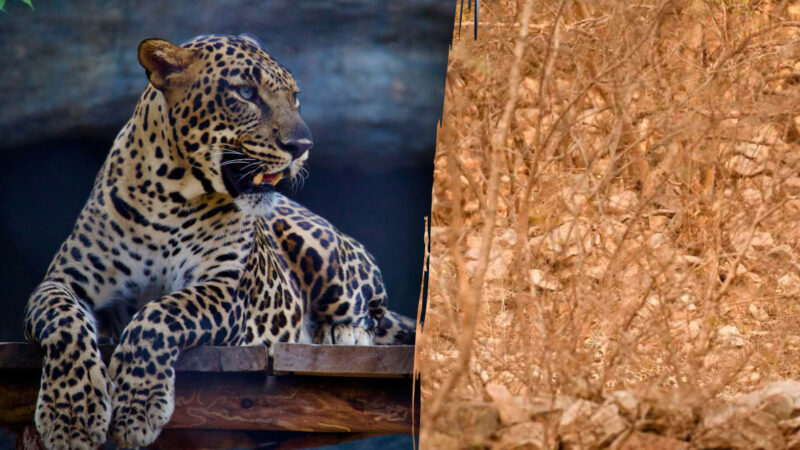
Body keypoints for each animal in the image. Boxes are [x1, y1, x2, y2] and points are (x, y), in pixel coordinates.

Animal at [23, 33, 416, 450]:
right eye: (246, 93)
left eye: (294, 97)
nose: (302, 146)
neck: (170, 196)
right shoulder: (64, 281)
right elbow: (65, 322)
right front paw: (71, 415)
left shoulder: (227, 289)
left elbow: (159, 315)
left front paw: (137, 409)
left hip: (325, 250)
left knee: (371, 305)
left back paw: (341, 333)